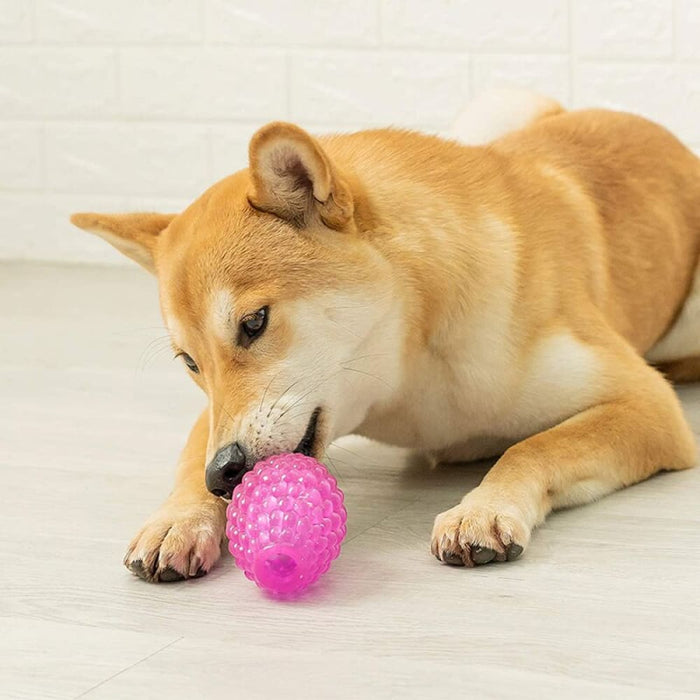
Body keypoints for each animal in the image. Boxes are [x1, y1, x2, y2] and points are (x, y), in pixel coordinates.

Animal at [71, 90, 700, 584]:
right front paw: (178, 518)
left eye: (254, 324)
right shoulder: (219, 418)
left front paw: (484, 506)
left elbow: (534, 446)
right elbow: (189, 460)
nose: (224, 473)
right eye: (190, 362)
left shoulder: (647, 404)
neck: (407, 370)